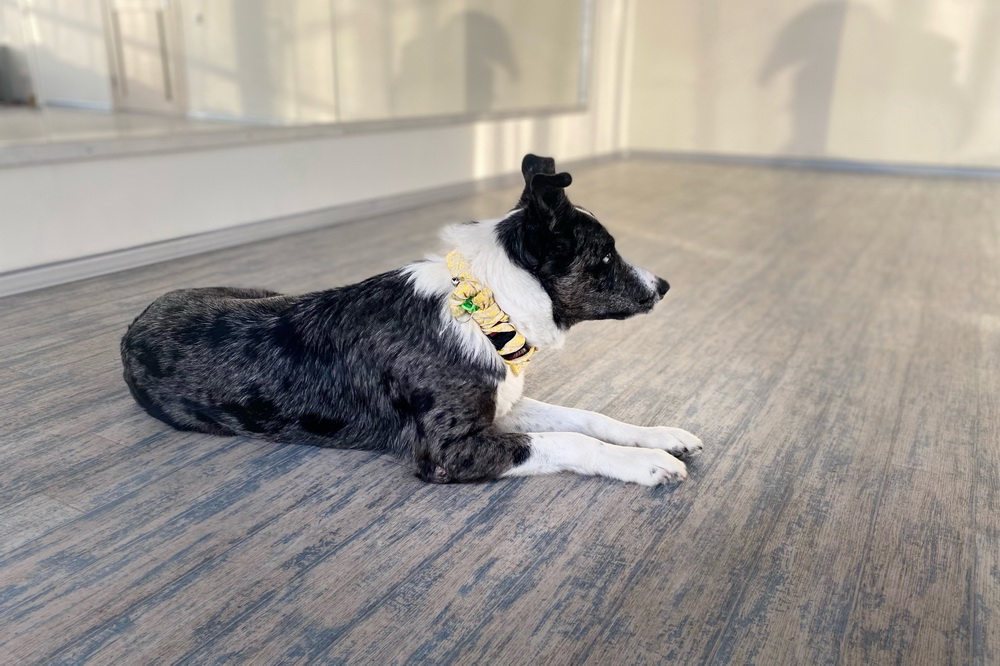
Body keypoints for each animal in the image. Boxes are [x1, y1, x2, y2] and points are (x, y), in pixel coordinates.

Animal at [121, 154, 703, 485]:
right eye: (605, 256)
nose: (664, 286)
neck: (489, 305)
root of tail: (132, 326)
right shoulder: (451, 450)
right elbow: (574, 441)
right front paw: (647, 464)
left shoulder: (503, 408)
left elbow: (589, 418)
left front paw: (660, 436)